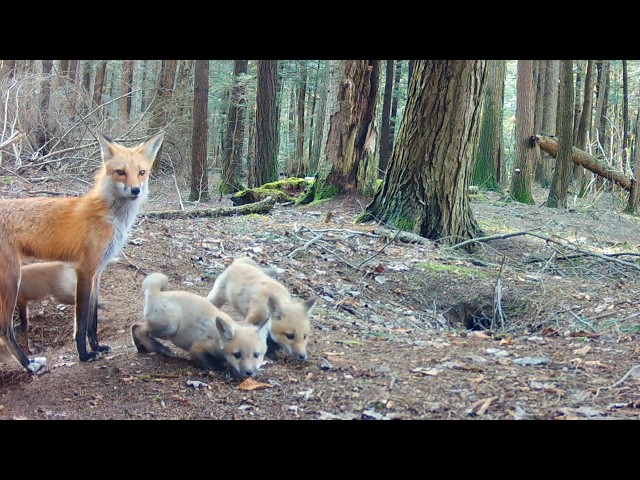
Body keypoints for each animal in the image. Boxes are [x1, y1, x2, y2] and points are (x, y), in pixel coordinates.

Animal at [0, 131, 164, 373]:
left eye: (141, 172)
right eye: (120, 172)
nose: (136, 190)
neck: (110, 217)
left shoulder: (97, 273)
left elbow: (93, 321)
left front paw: (97, 347)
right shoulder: (85, 270)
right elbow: (82, 320)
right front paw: (84, 355)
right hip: (13, 280)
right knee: (5, 329)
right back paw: (29, 364)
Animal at [132, 272, 269, 378]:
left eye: (256, 355)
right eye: (237, 355)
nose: (249, 372)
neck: (217, 338)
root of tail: (157, 293)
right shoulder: (197, 348)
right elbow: (207, 362)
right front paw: (220, 369)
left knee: (134, 326)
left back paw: (141, 348)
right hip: (169, 327)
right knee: (139, 329)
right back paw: (158, 348)